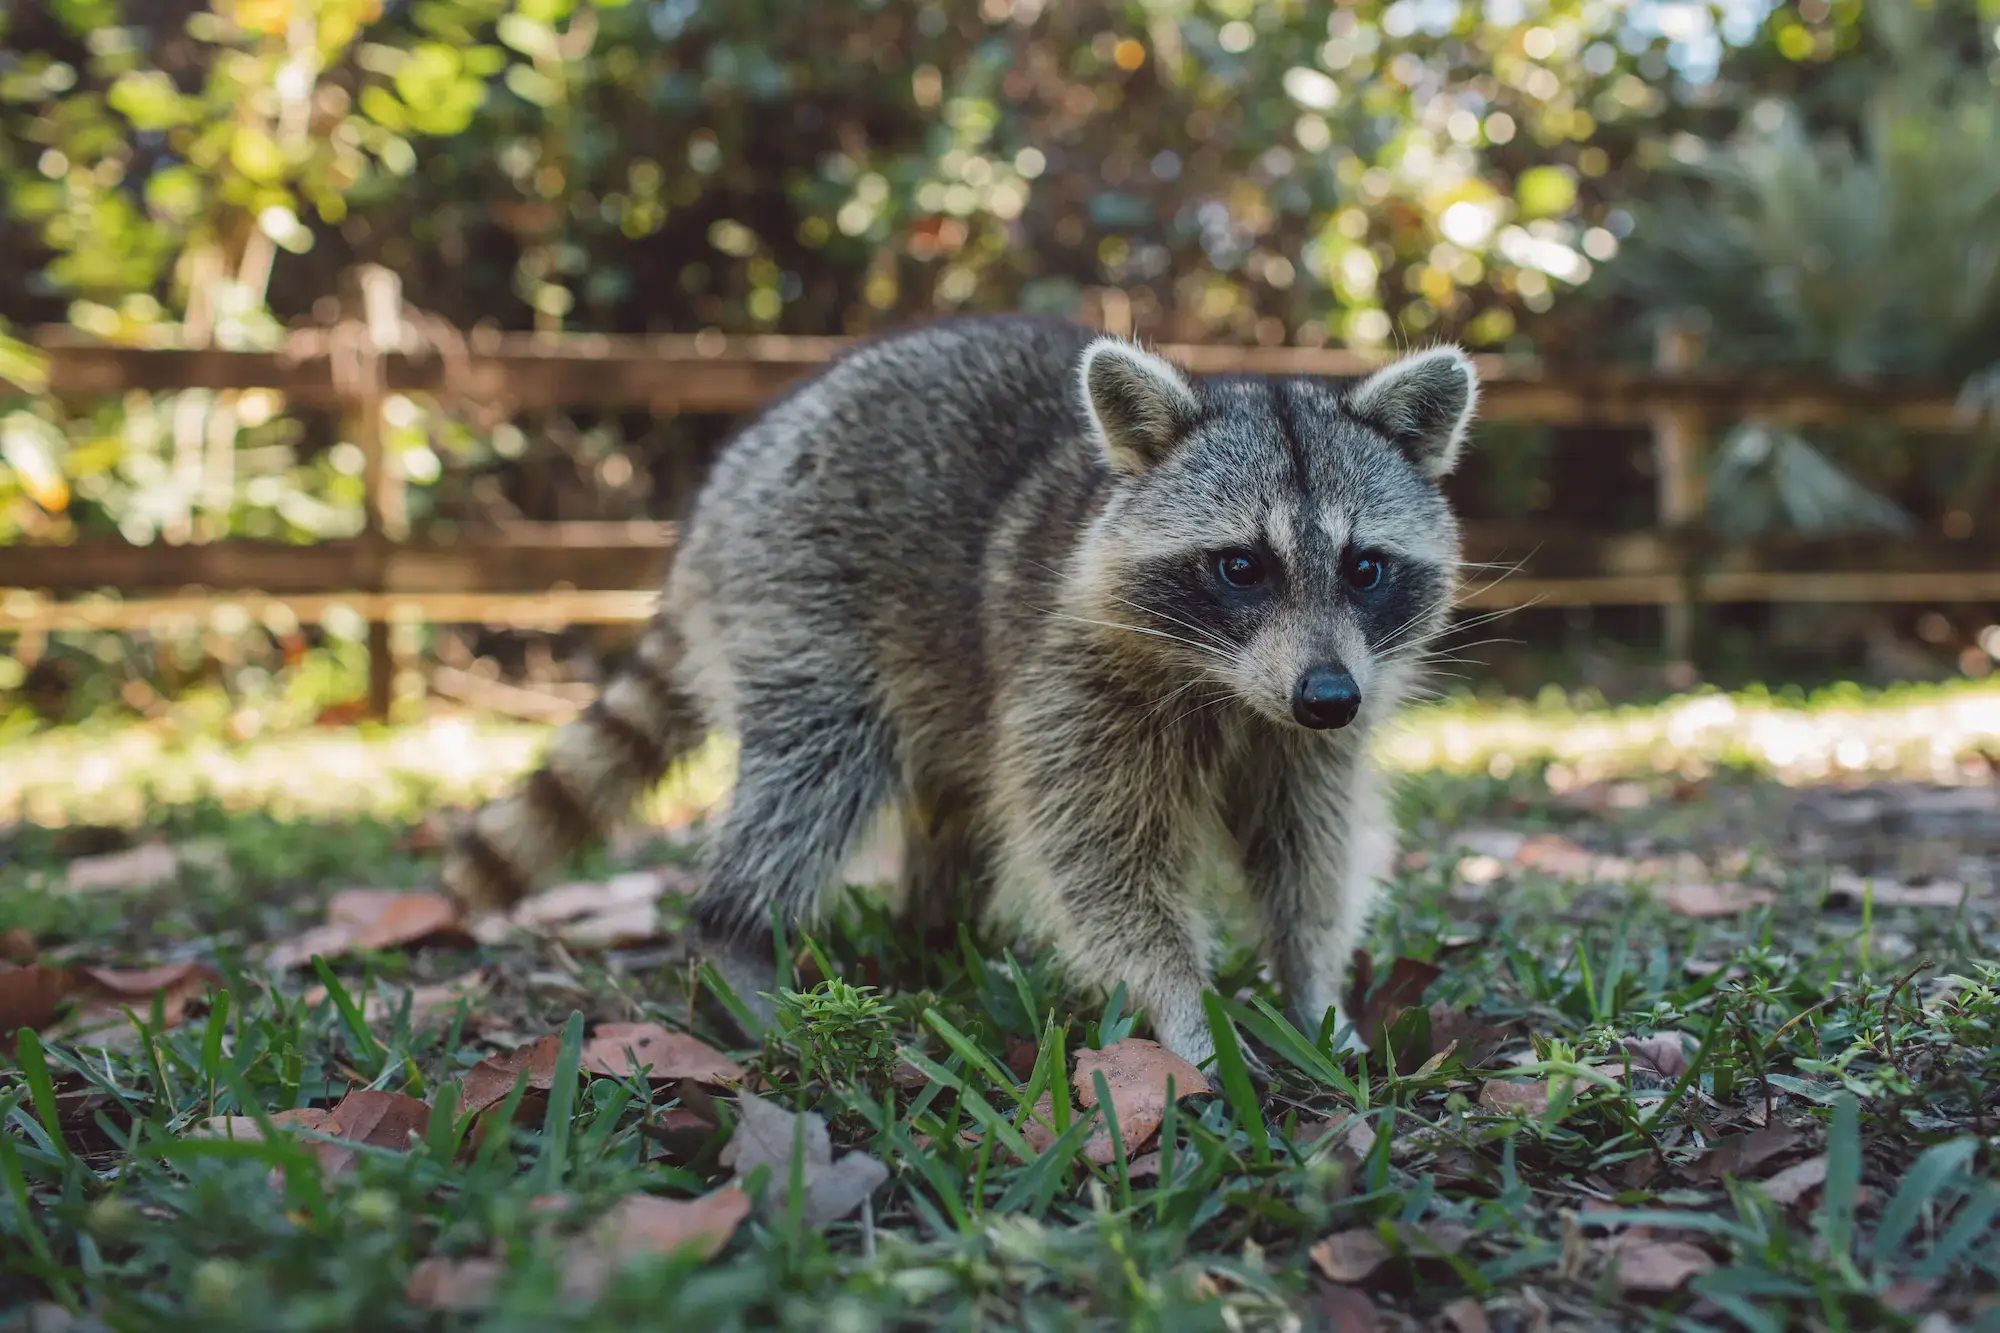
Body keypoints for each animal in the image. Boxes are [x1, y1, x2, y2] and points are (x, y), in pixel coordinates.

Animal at [442, 315, 1477, 1068]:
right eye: (1241, 566)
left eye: (1366, 567)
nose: (1328, 698)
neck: (1231, 687)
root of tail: (728, 479)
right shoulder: (1072, 676)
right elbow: (1098, 859)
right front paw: (1181, 1006)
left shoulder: (1309, 728)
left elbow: (1307, 852)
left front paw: (1312, 992)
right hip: (800, 583)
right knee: (813, 768)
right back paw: (736, 931)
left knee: (953, 798)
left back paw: (936, 934)